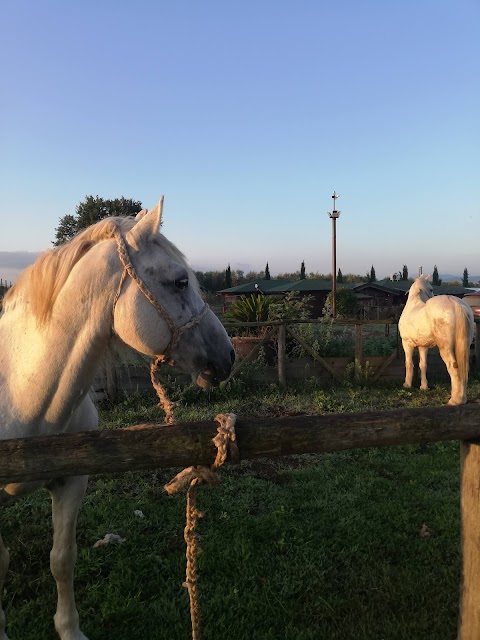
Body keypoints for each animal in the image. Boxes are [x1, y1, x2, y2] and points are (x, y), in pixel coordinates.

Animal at [0, 200, 234, 640]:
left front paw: (70, 631)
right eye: (180, 282)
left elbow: (62, 559)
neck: (23, 395)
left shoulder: (72, 481)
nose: (228, 356)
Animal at [398, 276, 472, 404]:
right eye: (431, 289)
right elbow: (423, 365)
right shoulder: (423, 346)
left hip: (446, 348)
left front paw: (407, 385)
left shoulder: (407, 344)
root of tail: (455, 303)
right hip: (464, 345)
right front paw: (424, 387)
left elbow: (409, 363)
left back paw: (455, 400)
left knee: (453, 367)